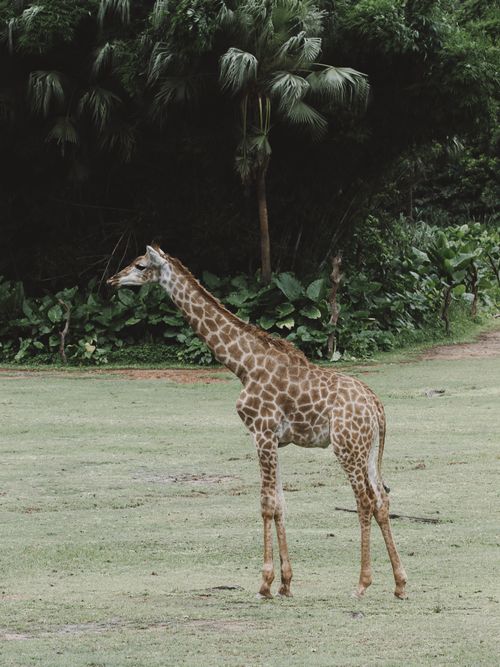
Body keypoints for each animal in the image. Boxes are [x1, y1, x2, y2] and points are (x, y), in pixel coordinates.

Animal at [107, 245, 407, 600]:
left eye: (140, 265)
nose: (113, 279)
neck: (243, 365)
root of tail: (377, 407)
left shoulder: (261, 433)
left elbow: (265, 504)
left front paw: (264, 583)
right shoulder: (275, 440)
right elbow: (280, 503)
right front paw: (286, 583)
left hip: (347, 447)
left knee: (364, 501)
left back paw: (361, 583)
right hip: (369, 449)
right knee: (382, 500)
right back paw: (400, 583)